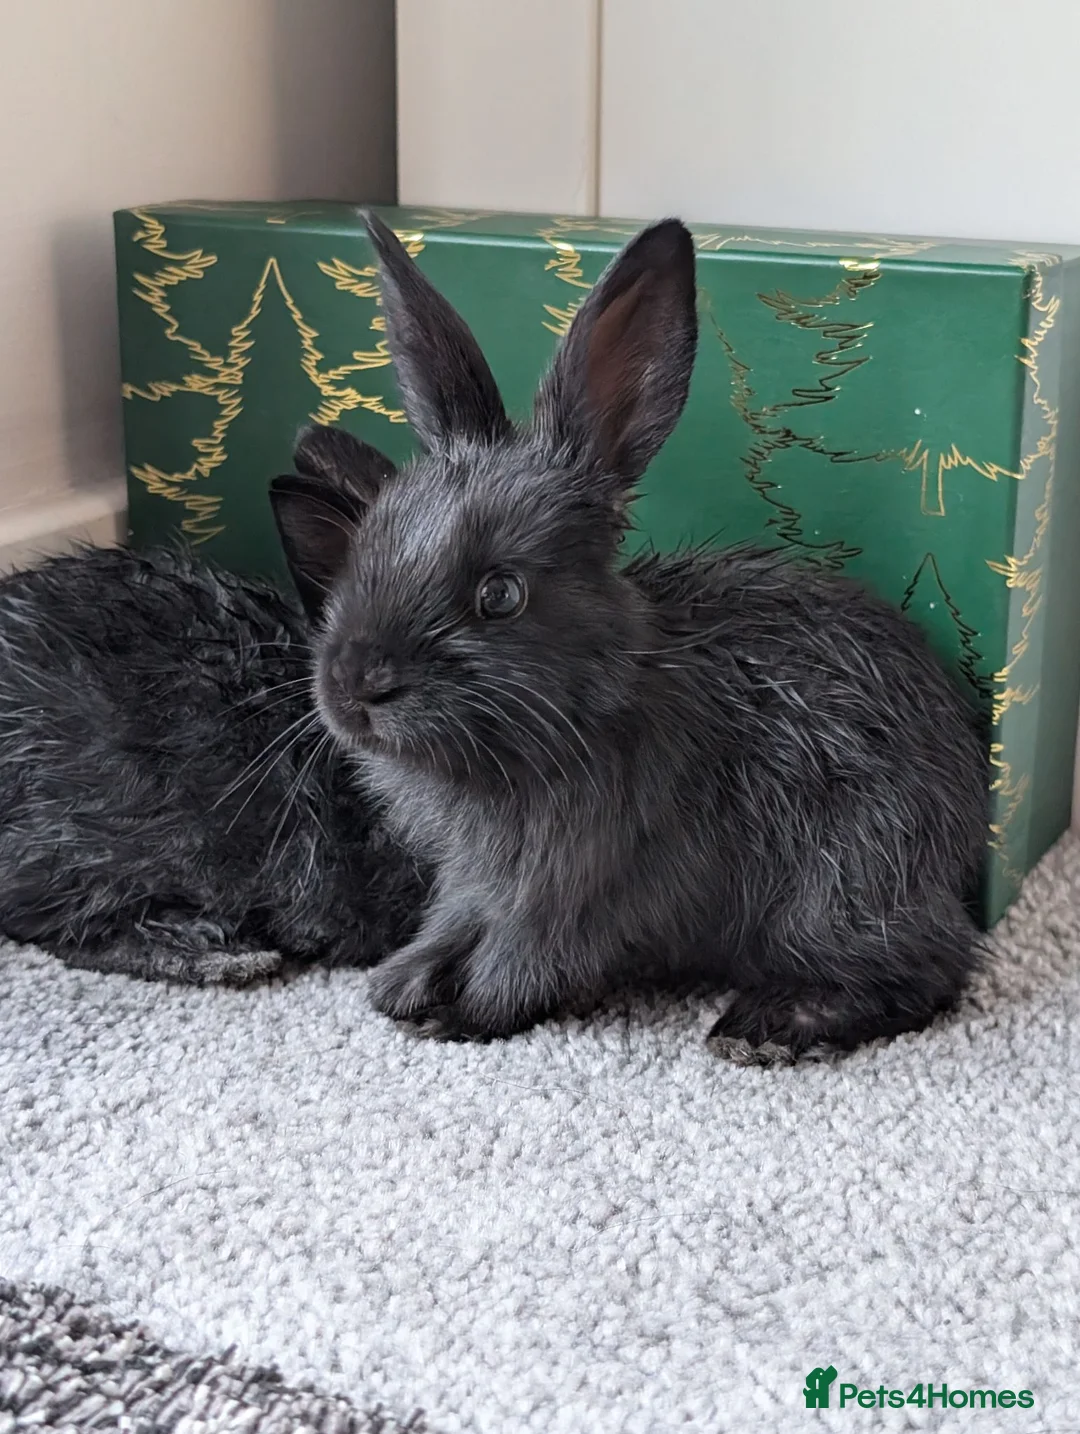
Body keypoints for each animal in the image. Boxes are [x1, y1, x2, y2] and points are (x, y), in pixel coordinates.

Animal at [266, 211, 989, 1056]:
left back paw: (768, 1025)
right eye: (364, 554)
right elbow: (454, 923)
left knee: (933, 967)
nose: (355, 686)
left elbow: (527, 955)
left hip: (843, 883)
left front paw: (464, 1013)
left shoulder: (577, 886)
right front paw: (403, 983)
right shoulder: (475, 882)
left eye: (500, 594)